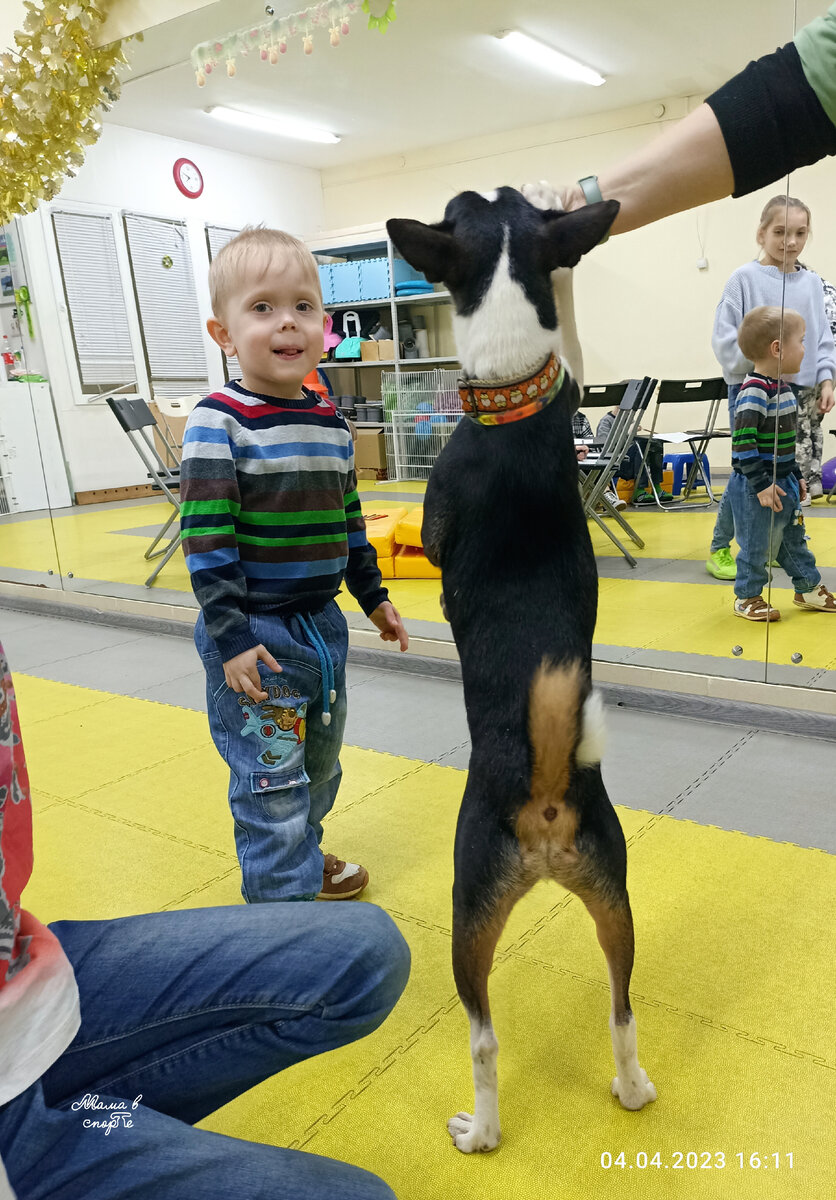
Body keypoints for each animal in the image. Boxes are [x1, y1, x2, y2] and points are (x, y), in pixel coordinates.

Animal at [388, 187, 657, 1152]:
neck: (512, 389)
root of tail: (544, 791)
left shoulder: (436, 524)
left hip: (467, 911)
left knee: (484, 1039)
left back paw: (480, 1130)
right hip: (616, 898)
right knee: (622, 1010)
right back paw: (632, 1088)